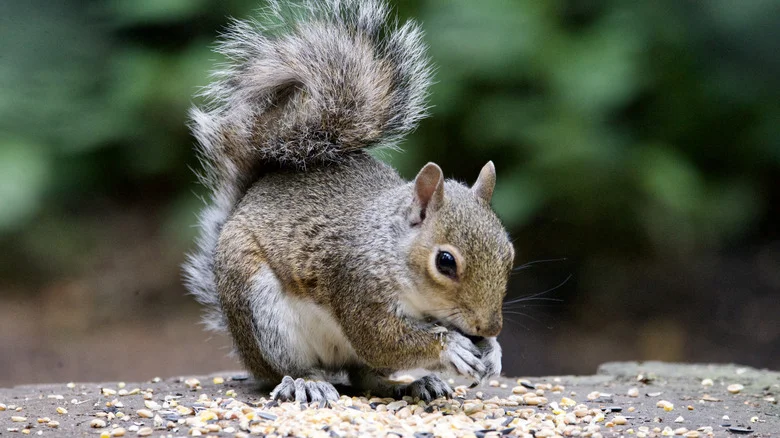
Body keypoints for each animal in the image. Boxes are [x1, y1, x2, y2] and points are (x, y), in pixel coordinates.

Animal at [183, 0, 515, 403]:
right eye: (445, 262)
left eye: (510, 254)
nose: (489, 327)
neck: (390, 248)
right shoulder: (356, 285)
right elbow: (380, 339)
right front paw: (449, 347)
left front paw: (493, 352)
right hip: (261, 311)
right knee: (291, 369)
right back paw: (307, 383)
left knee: (365, 378)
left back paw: (416, 383)